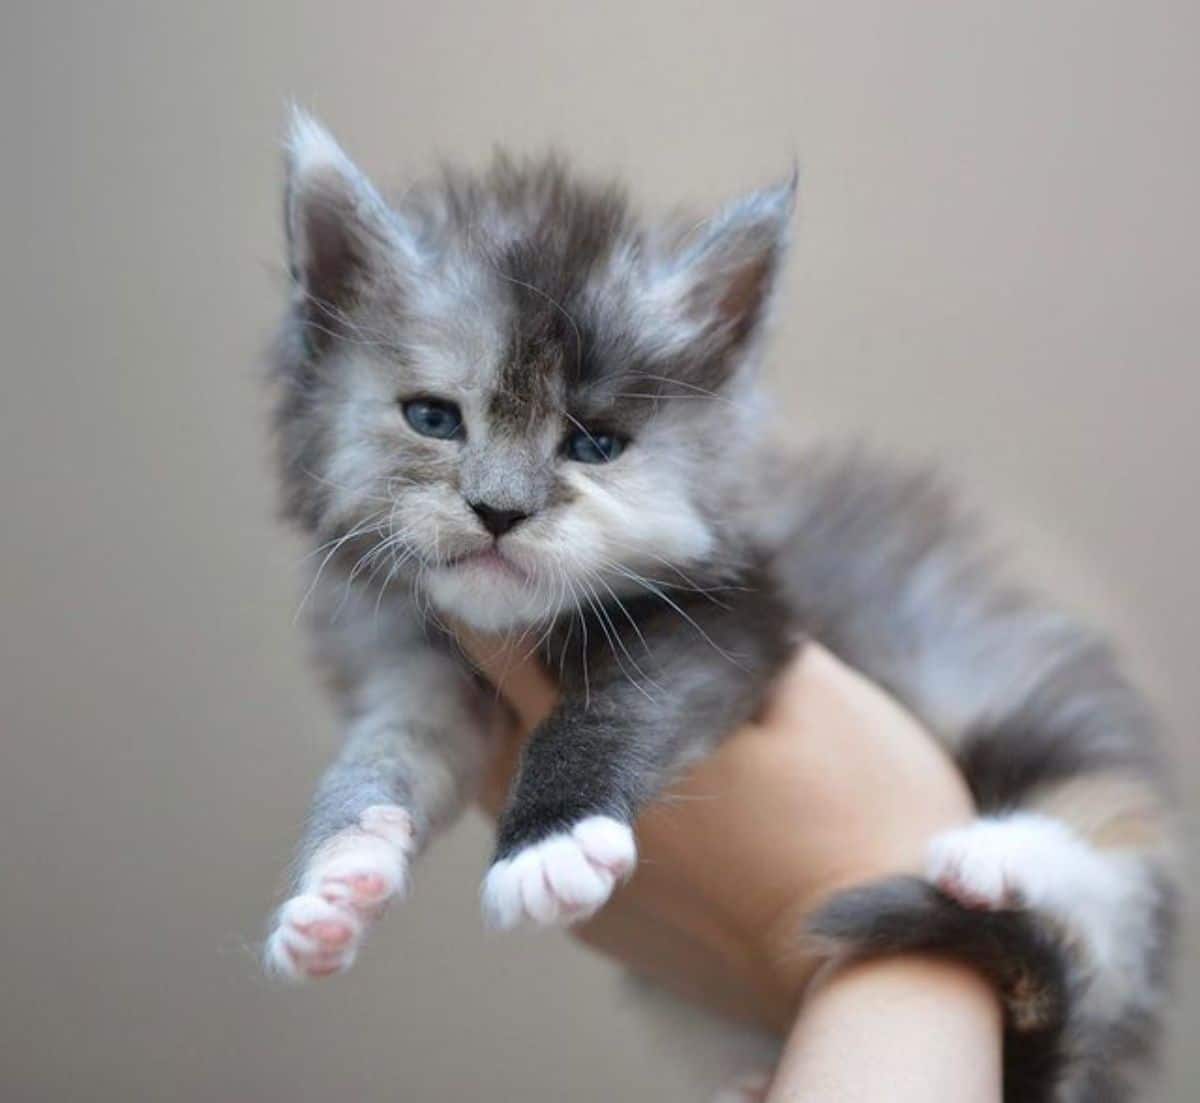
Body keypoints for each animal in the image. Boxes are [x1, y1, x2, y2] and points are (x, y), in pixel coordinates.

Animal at [260, 114, 1171, 1103]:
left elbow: (610, 710)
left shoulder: (735, 622)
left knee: (1125, 863)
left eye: (594, 443)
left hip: (994, 676)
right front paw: (338, 879)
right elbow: (383, 756)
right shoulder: (416, 670)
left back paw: (1002, 856)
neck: (516, 628)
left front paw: (547, 843)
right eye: (432, 417)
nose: (499, 511)